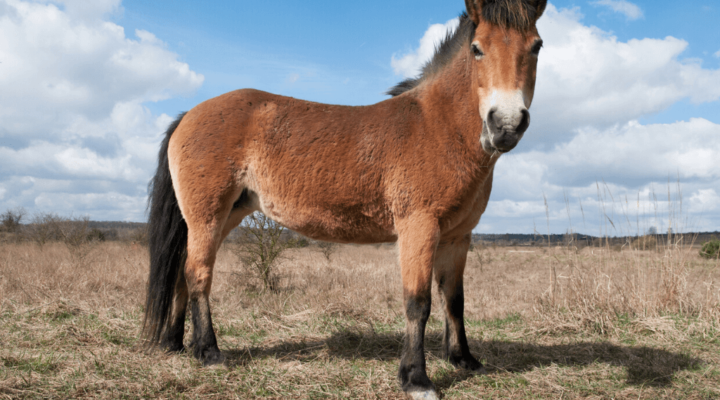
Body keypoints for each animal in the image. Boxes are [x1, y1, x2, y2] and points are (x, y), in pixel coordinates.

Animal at [143, 0, 546, 398]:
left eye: (536, 46)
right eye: (477, 49)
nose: (506, 124)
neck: (437, 126)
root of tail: (189, 115)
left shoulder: (457, 237)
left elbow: (454, 299)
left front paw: (464, 360)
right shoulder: (418, 228)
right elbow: (418, 302)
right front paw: (416, 379)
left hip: (224, 216)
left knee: (182, 274)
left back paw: (176, 344)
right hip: (207, 217)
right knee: (198, 275)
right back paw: (209, 352)